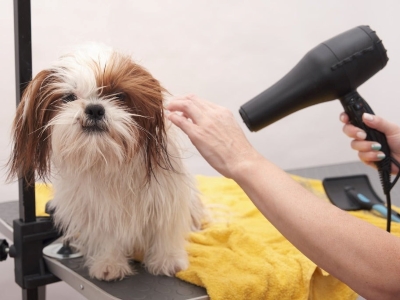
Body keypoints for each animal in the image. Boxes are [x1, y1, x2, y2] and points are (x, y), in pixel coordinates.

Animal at [7, 44, 205, 282]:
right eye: (69, 97)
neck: (106, 157)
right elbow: (107, 236)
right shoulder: (97, 210)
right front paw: (109, 263)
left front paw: (168, 260)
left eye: (119, 95)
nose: (94, 108)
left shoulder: (166, 197)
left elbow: (166, 230)